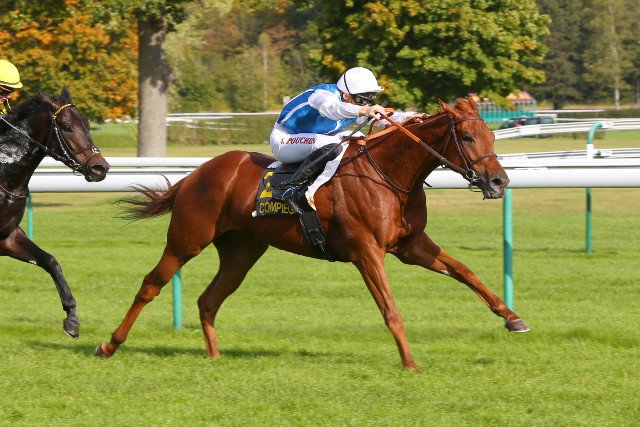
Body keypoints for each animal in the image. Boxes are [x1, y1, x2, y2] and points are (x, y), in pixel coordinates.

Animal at [0, 87, 110, 338]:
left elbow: (51, 261)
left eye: (87, 124)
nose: (100, 168)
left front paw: (72, 319)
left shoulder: (7, 237)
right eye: (67, 126)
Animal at [96, 97, 529, 370]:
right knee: (150, 285)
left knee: (209, 300)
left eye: (492, 135)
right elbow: (391, 310)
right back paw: (108, 344)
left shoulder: (411, 245)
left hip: (241, 252)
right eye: (468, 137)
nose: (498, 182)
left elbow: (465, 271)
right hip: (187, 239)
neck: (388, 174)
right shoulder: (366, 251)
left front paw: (512, 318)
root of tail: (196, 174)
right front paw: (409, 362)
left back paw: (215, 357)